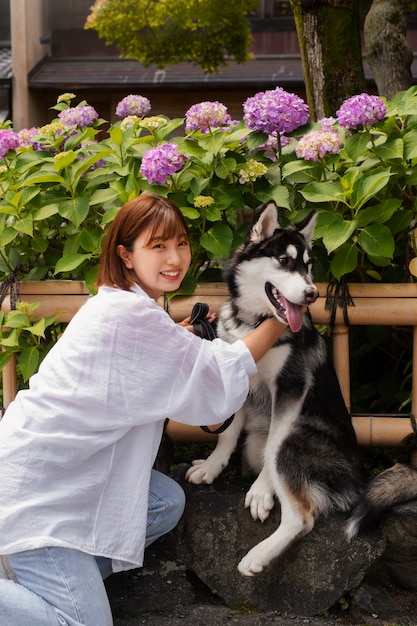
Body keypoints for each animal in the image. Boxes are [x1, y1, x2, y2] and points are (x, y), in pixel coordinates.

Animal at [185, 201, 416, 576]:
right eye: (284, 260)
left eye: (308, 266)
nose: (312, 294)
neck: (253, 324)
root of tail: (360, 479)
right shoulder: (236, 376)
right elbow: (227, 432)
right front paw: (212, 465)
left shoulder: (290, 386)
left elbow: (272, 445)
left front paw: (261, 492)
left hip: (296, 440)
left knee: (301, 515)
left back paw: (257, 556)